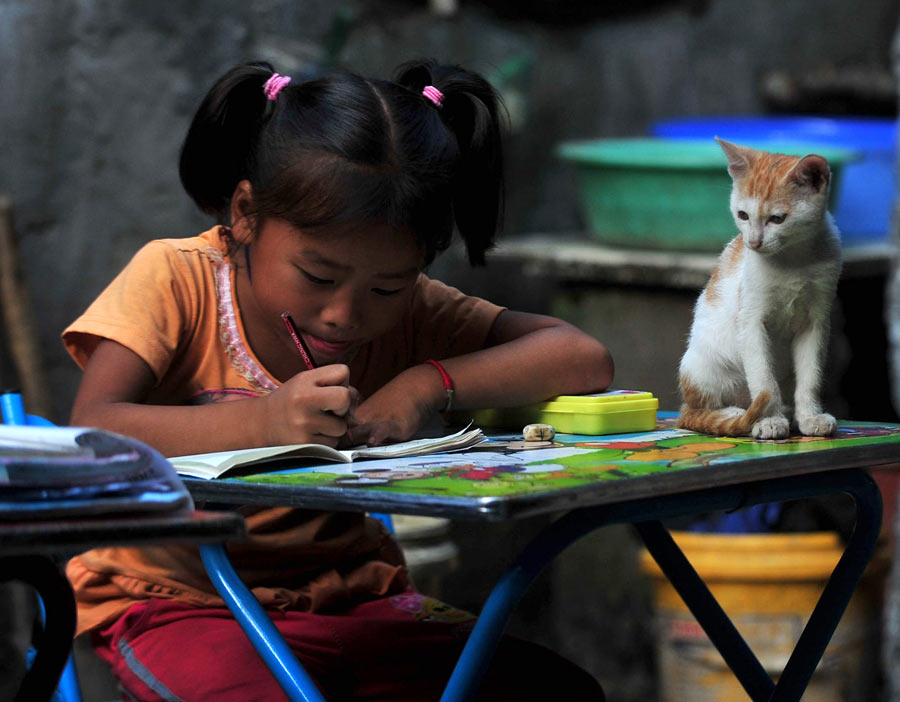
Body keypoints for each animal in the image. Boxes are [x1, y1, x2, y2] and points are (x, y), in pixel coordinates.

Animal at [680, 138, 840, 440]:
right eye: (742, 215)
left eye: (777, 219)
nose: (753, 242)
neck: (793, 259)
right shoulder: (750, 320)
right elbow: (763, 378)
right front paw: (769, 420)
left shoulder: (816, 321)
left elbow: (810, 376)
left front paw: (810, 417)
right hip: (701, 365)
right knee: (698, 412)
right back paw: (733, 414)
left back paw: (788, 412)